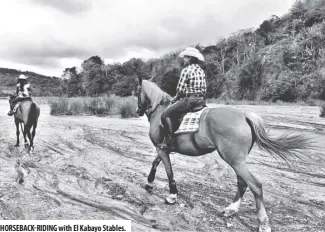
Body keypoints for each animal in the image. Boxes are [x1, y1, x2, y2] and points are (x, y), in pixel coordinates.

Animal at [134, 77, 312, 232]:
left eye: (137, 92)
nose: (137, 111)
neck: (160, 112)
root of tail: (244, 116)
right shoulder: (163, 149)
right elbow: (155, 163)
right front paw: (149, 182)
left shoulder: (161, 149)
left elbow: (169, 171)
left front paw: (172, 196)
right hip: (237, 161)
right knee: (243, 183)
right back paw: (231, 210)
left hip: (234, 160)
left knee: (255, 185)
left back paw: (263, 223)